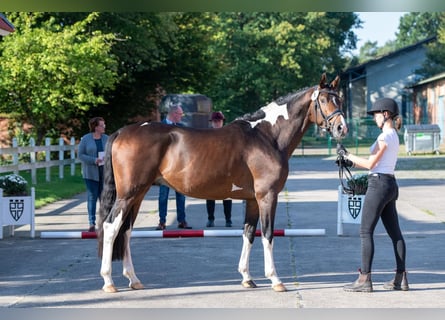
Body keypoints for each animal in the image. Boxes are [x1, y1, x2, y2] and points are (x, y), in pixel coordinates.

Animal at [96, 74, 346, 294]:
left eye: (340, 99)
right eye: (324, 100)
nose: (341, 128)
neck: (267, 137)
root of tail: (122, 131)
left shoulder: (252, 200)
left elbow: (248, 233)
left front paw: (247, 278)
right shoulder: (267, 196)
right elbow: (267, 234)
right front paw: (275, 280)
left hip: (137, 195)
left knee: (126, 231)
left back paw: (134, 280)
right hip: (128, 194)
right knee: (111, 227)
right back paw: (109, 282)